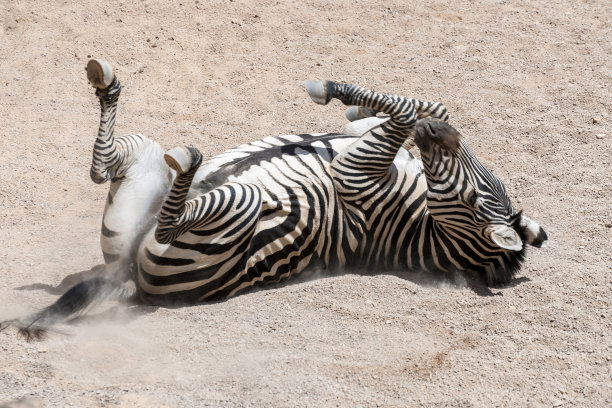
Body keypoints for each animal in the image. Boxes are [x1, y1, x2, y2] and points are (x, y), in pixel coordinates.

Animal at [1, 59, 544, 340]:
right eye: (485, 182)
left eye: (473, 199)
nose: (442, 136)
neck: (419, 221)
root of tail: (129, 280)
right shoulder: (366, 143)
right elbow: (419, 104)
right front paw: (345, 97)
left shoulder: (354, 171)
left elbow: (409, 108)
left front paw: (333, 90)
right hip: (141, 174)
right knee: (102, 168)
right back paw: (107, 83)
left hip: (232, 204)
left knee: (165, 211)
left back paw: (189, 159)